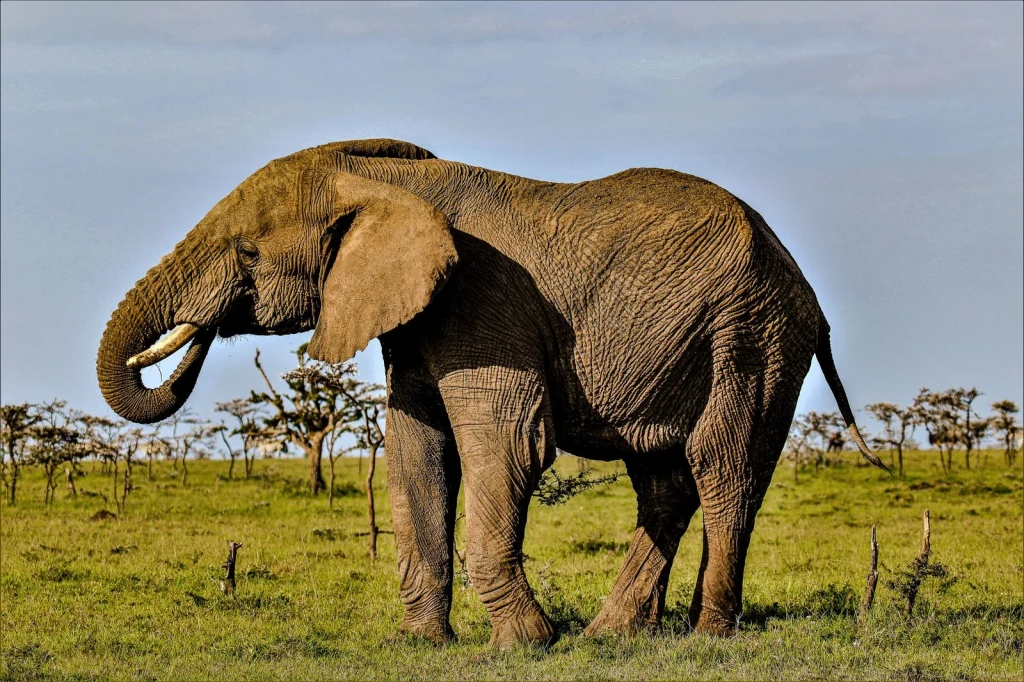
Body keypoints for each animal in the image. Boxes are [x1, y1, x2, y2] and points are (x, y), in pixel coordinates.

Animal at [96, 138, 886, 648]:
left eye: (248, 252)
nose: (204, 329)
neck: (380, 180)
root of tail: (806, 291)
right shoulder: (421, 319)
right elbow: (415, 455)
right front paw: (419, 644)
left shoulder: (482, 302)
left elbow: (504, 448)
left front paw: (526, 645)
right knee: (665, 481)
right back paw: (610, 635)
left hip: (750, 336)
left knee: (724, 470)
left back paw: (706, 637)